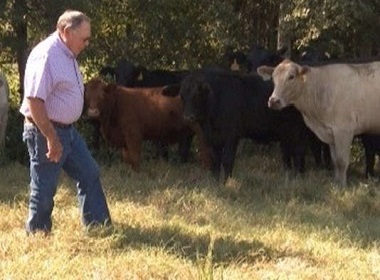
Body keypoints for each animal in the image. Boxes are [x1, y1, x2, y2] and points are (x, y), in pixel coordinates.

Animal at [163, 70, 314, 182]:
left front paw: (227, 182)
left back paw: (298, 177)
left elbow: (227, 160)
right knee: (288, 154)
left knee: (299, 152)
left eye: (197, 94)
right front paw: (216, 181)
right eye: (182, 95)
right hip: (286, 132)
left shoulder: (232, 135)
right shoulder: (213, 138)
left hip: (298, 130)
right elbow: (215, 161)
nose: (188, 116)